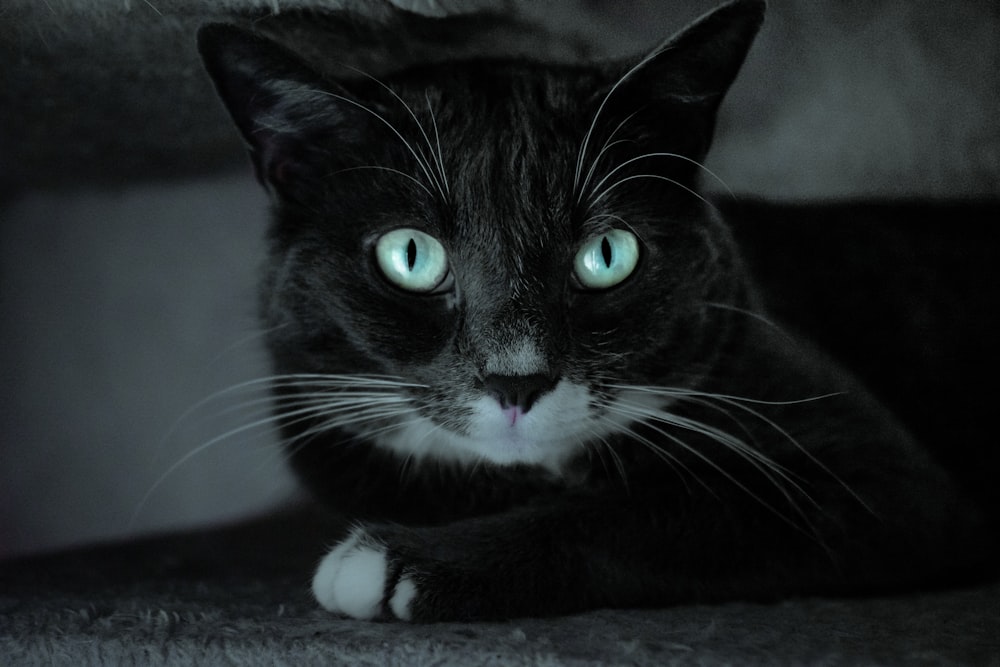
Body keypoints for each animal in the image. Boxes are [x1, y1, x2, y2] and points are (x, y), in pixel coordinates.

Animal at [195, 0, 992, 624]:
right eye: (410, 256)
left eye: (606, 254)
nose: (517, 379)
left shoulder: (875, 474)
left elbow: (662, 508)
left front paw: (400, 563)